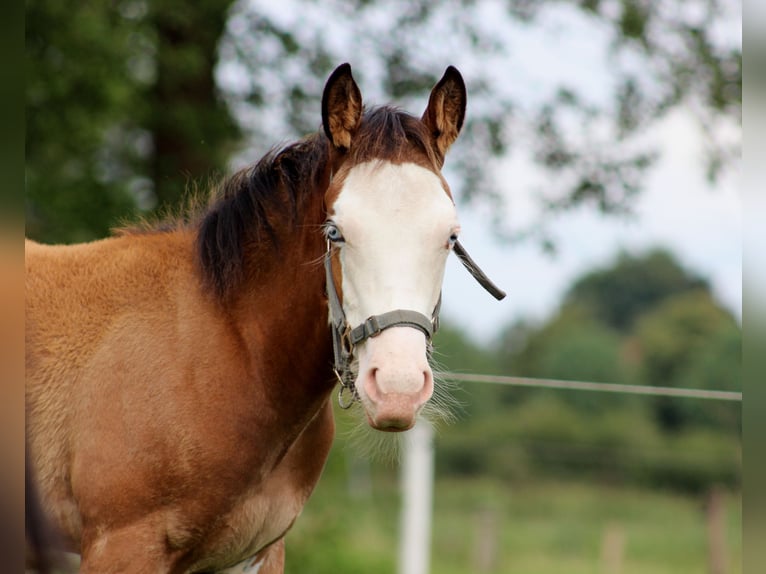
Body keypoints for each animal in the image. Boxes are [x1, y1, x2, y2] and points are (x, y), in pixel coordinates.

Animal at [25, 64, 504, 574]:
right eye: (335, 232)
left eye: (450, 236)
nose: (397, 388)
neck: (231, 350)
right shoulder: (123, 547)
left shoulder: (258, 553)